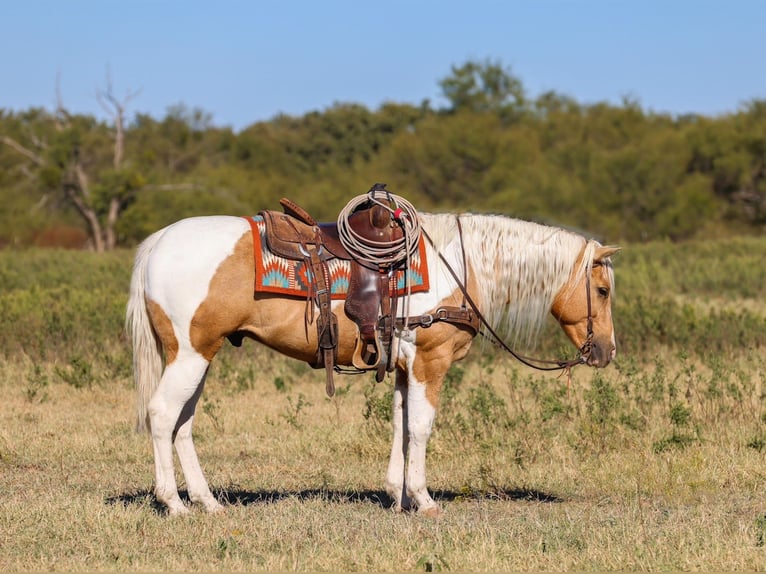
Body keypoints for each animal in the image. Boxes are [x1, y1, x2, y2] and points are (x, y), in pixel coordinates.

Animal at [126, 202, 619, 517]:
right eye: (602, 290)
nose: (607, 351)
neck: (459, 265)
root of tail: (159, 241)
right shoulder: (429, 362)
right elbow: (420, 428)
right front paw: (423, 500)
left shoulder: (403, 367)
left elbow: (400, 426)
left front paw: (397, 496)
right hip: (190, 354)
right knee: (163, 415)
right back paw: (173, 504)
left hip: (198, 356)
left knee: (183, 423)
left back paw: (207, 502)